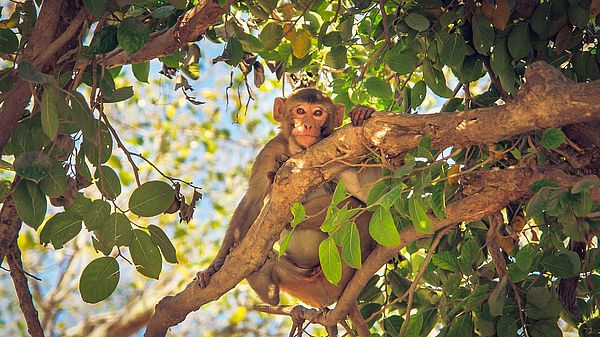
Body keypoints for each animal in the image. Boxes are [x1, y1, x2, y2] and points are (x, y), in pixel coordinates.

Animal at [197, 87, 380, 336]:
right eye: (300, 111)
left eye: (318, 113)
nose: (307, 125)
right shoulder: (271, 149)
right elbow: (252, 200)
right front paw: (214, 266)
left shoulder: (336, 146)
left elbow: (368, 194)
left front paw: (363, 112)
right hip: (306, 288)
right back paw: (266, 286)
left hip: (341, 271)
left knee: (355, 206)